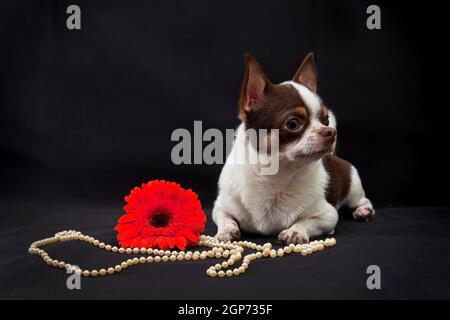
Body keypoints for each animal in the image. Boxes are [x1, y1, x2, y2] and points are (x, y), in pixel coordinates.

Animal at [213, 52, 374, 244]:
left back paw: (363, 211)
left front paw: (295, 231)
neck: (276, 177)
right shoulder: (220, 207)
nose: (330, 131)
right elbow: (224, 217)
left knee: (363, 200)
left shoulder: (328, 215)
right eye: (293, 123)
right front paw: (226, 230)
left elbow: (306, 220)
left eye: (326, 120)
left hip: (353, 187)